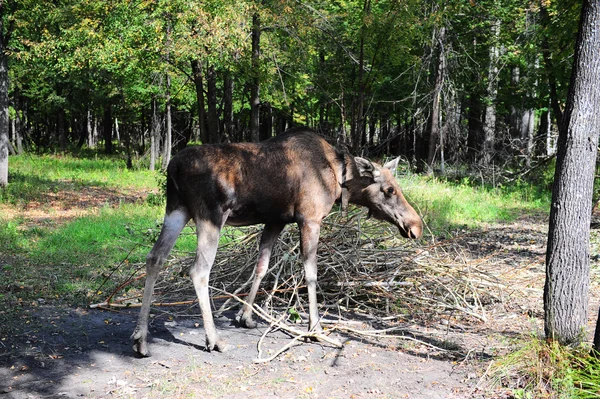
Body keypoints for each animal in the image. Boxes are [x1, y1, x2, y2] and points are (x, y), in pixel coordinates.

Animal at [131, 127, 422, 356]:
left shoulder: (276, 220)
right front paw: (315, 328)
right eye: (389, 189)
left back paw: (141, 338)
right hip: (210, 215)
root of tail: (173, 167)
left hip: (177, 209)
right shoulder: (310, 219)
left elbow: (261, 266)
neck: (340, 182)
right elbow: (311, 274)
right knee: (199, 271)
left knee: (154, 257)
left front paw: (246, 317)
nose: (416, 226)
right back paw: (213, 339)